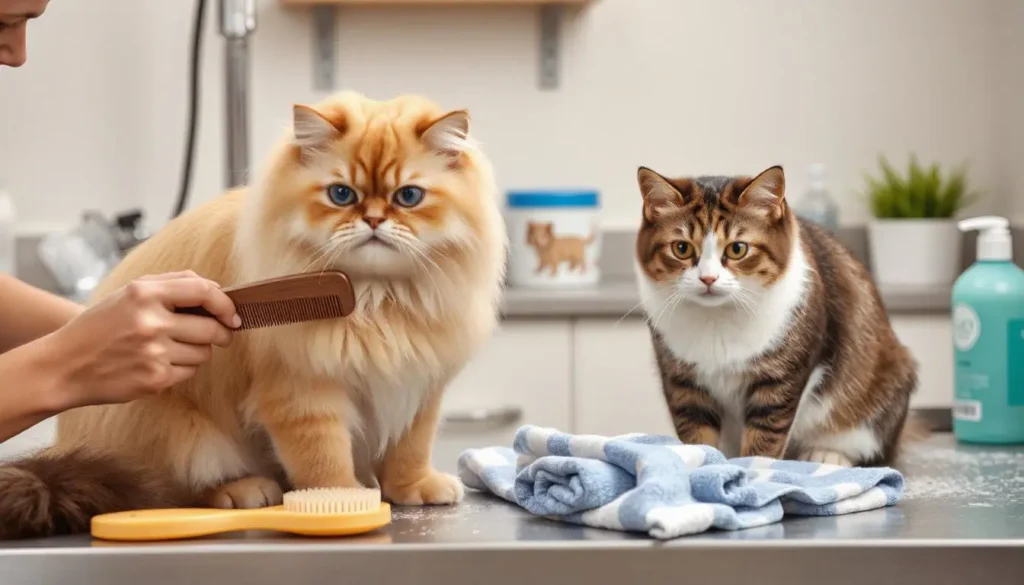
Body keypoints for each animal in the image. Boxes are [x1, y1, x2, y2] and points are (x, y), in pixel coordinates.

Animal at [634, 164, 925, 467]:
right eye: (681, 248)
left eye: (737, 248)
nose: (708, 279)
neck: (717, 319)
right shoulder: (683, 381)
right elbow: (696, 431)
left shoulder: (784, 376)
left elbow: (767, 433)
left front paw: (756, 469)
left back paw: (828, 454)